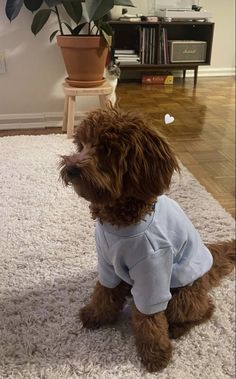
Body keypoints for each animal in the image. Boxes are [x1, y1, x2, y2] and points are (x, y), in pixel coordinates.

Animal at [60, 107, 235, 374]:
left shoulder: (153, 269)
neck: (119, 222)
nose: (71, 168)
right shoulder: (107, 263)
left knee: (204, 310)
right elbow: (104, 291)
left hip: (184, 293)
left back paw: (177, 328)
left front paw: (155, 352)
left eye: (106, 149)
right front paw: (96, 315)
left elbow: (149, 318)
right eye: (81, 145)